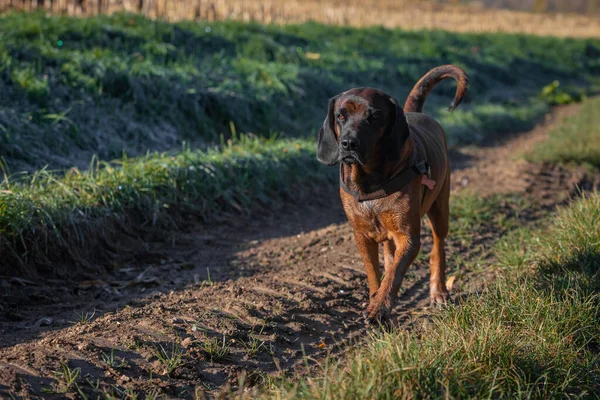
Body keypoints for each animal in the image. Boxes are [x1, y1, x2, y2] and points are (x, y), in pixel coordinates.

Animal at [318, 64, 468, 324]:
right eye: (341, 115)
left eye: (374, 117)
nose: (348, 144)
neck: (369, 181)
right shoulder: (362, 236)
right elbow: (374, 272)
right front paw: (375, 298)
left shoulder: (408, 237)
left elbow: (395, 272)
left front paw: (379, 306)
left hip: (440, 208)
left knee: (438, 248)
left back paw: (438, 290)